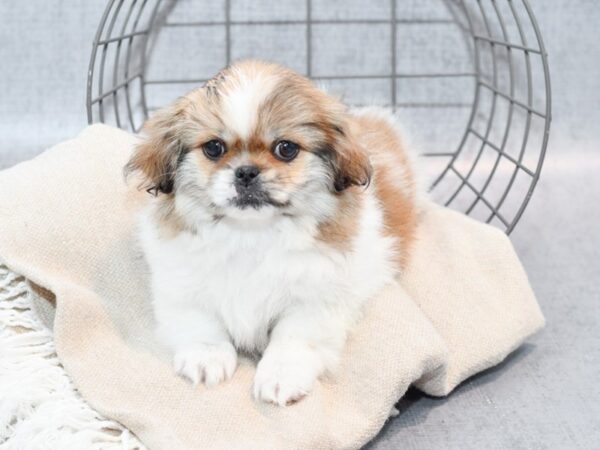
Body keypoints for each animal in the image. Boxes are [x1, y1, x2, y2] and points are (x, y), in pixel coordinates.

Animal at [126, 58, 418, 406]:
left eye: (286, 149)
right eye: (213, 148)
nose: (246, 172)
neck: (250, 234)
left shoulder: (315, 300)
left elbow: (291, 339)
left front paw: (281, 376)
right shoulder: (181, 285)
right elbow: (200, 322)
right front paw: (206, 358)